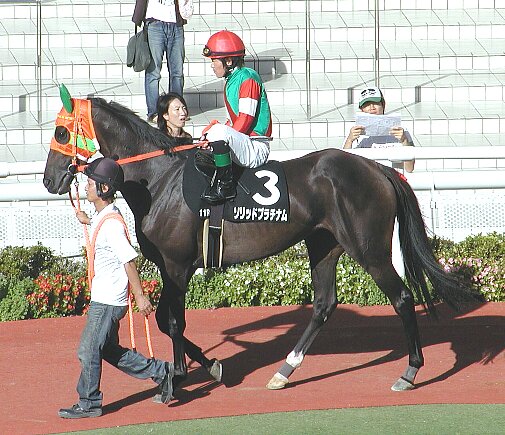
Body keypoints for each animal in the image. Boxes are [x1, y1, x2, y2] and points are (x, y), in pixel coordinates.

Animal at [43, 93, 477, 398]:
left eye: (61, 132)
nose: (49, 180)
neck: (160, 179)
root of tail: (378, 168)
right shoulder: (170, 267)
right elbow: (169, 322)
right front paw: (211, 366)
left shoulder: (177, 266)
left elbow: (173, 321)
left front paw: (179, 378)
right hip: (324, 244)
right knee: (324, 305)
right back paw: (284, 372)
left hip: (368, 249)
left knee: (402, 298)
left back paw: (410, 371)